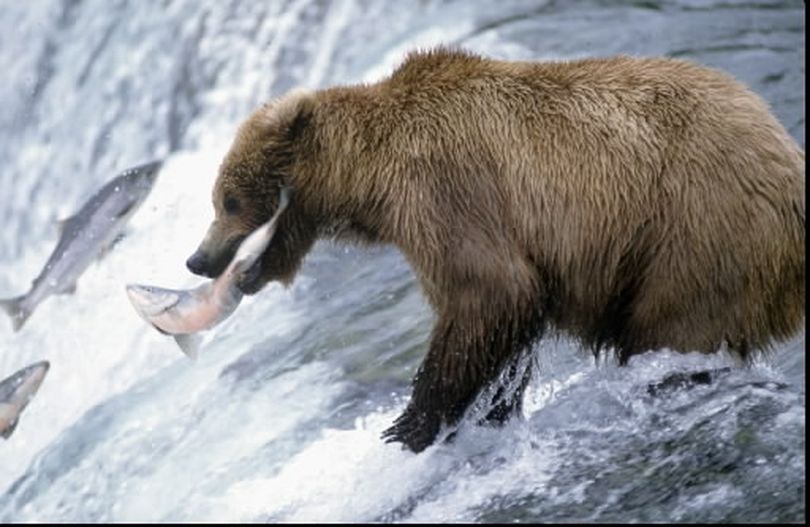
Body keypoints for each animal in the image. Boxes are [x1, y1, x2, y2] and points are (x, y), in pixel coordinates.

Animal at [185, 48, 800, 454]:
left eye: (229, 199)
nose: (198, 259)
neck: (368, 181)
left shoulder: (444, 188)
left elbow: (491, 290)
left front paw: (410, 424)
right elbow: (509, 324)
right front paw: (491, 411)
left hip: (696, 232)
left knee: (673, 330)